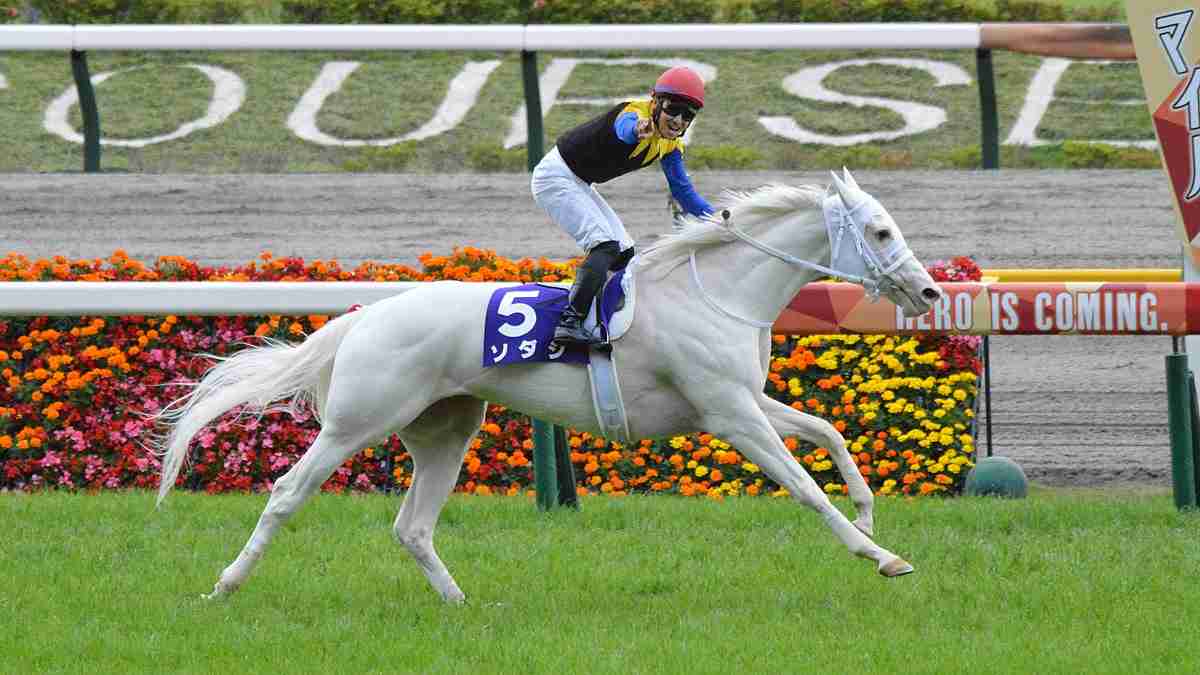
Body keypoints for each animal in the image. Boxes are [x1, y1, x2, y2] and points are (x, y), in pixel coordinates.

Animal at [154, 169, 943, 604]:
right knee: (288, 492)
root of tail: (362, 318)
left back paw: (461, 601)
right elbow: (805, 486)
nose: (931, 291)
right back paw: (225, 585)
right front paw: (881, 556)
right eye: (879, 231)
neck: (714, 290)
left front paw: (869, 513)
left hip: (447, 428)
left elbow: (829, 432)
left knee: (413, 525)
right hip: (358, 422)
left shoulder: (744, 399)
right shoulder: (729, 415)